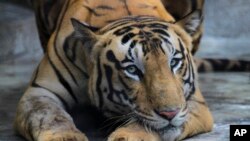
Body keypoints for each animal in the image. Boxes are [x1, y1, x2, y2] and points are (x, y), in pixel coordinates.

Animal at [14, 0, 250, 141]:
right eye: (132, 69)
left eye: (174, 62)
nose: (170, 113)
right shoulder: (40, 91)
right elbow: (50, 115)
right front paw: (65, 137)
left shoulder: (193, 100)